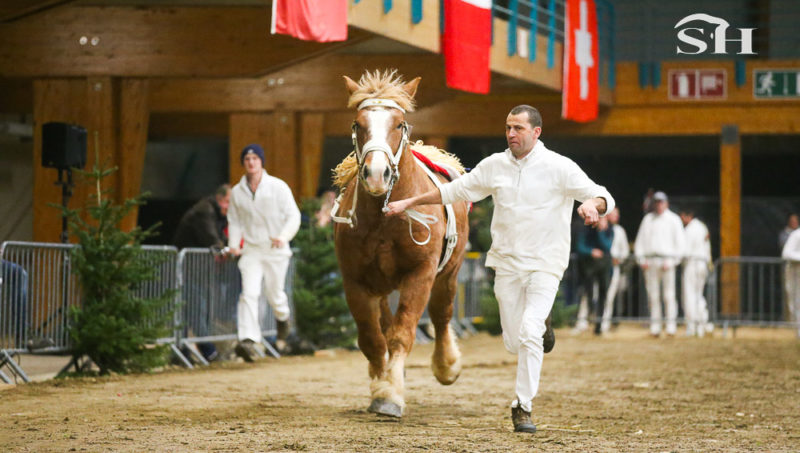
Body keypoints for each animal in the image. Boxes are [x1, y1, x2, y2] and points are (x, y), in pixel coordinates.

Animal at [331, 70, 470, 418]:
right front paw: (382, 385)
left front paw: (391, 394)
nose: (376, 173)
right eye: (358, 123)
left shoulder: (420, 274)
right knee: (382, 324)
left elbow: (403, 332)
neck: (385, 218)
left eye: (398, 124)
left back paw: (446, 364)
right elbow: (372, 338)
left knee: (441, 315)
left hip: (449, 274)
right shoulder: (355, 280)